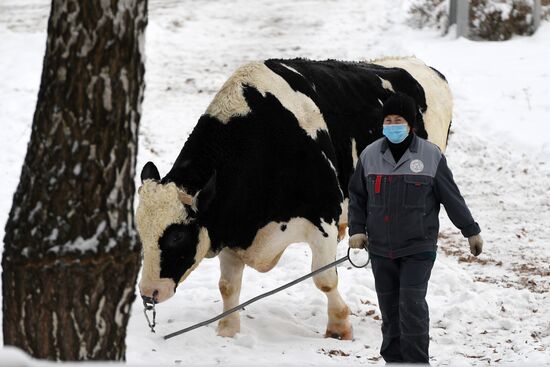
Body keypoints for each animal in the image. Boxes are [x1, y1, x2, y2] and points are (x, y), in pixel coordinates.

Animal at [137, 56, 452, 340]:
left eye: (177, 235)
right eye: (140, 233)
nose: (148, 292)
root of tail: (421, 65)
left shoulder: (323, 218)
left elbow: (324, 279)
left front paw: (340, 327)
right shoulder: (229, 223)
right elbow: (227, 285)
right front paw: (227, 330)